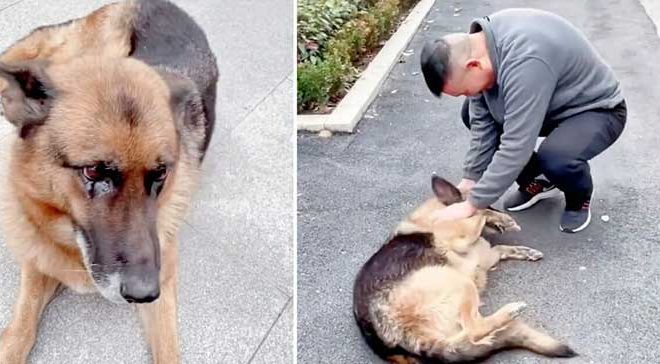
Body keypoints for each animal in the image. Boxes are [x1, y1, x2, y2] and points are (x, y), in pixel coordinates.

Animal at [0, 1, 219, 362]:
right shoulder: (38, 260)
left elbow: (169, 350)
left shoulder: (165, 280)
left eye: (160, 174)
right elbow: (18, 331)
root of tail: (168, 5)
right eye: (93, 172)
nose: (144, 292)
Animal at [354, 176, 576, 362]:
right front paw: (499, 218)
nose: (504, 213)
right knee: (473, 330)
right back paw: (510, 311)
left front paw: (525, 251)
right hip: (459, 283)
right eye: (489, 203)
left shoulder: (486, 256)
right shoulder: (462, 238)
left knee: (473, 332)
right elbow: (480, 215)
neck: (436, 214)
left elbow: (501, 248)